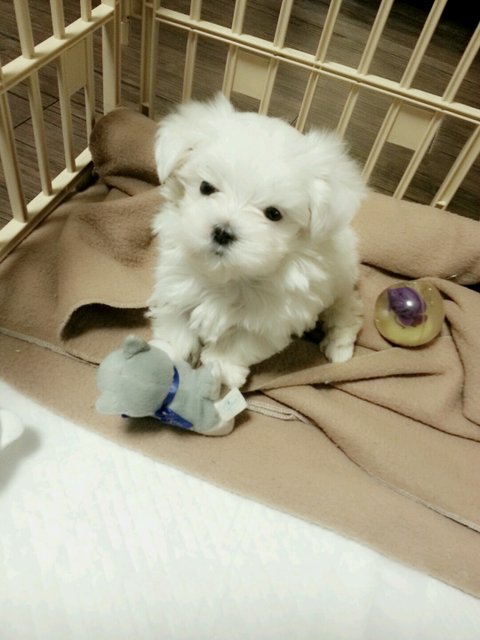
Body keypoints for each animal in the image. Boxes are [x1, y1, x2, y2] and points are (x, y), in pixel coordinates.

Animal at [147, 93, 366, 389]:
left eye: (273, 214)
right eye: (206, 187)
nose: (222, 232)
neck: (229, 275)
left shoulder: (269, 322)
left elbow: (239, 344)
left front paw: (221, 368)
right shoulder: (175, 285)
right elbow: (175, 324)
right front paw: (166, 356)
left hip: (341, 283)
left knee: (348, 311)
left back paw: (339, 347)